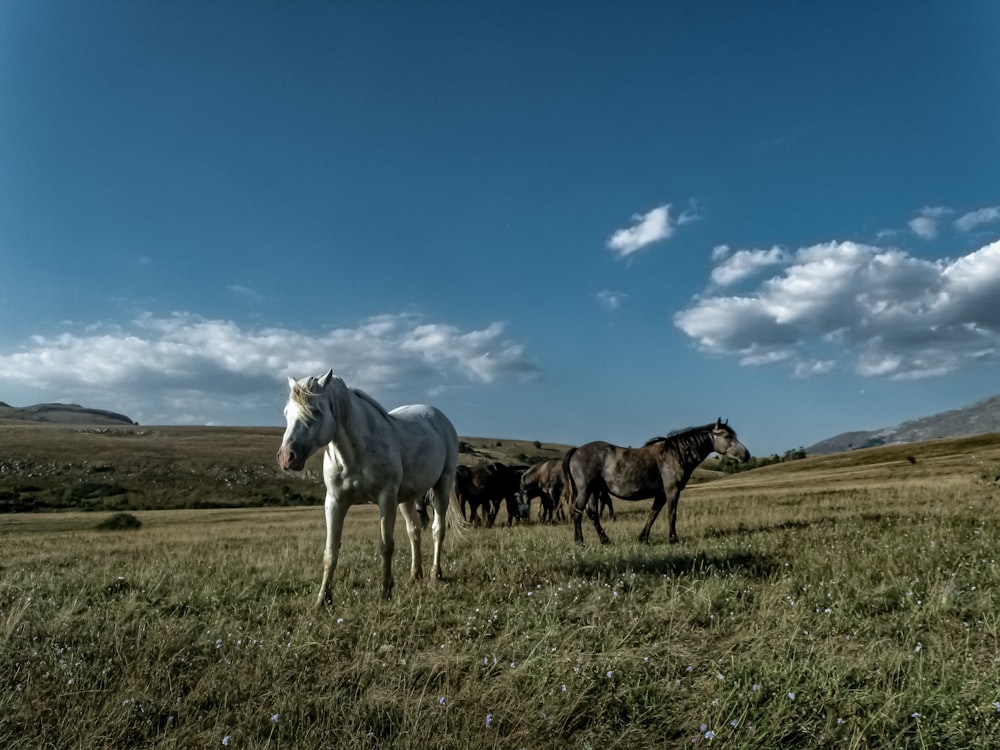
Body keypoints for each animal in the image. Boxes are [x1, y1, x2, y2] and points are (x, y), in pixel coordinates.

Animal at [276, 370, 458, 604]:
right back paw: (415, 575)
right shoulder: (334, 502)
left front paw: (386, 591)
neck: (356, 453)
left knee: (438, 530)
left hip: (441, 488)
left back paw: (435, 574)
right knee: (414, 531)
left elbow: (386, 546)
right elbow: (330, 552)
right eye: (286, 413)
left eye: (315, 411)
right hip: (407, 498)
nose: (286, 457)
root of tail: (439, 418)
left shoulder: (386, 499)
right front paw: (323, 599)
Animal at [564, 418, 752, 548]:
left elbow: (652, 515)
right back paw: (580, 541)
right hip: (585, 489)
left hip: (594, 491)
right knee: (578, 512)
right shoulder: (672, 491)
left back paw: (605, 540)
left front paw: (643, 538)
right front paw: (673, 539)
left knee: (592, 515)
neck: (676, 454)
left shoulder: (661, 494)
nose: (746, 455)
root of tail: (577, 450)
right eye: (727, 436)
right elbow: (672, 515)